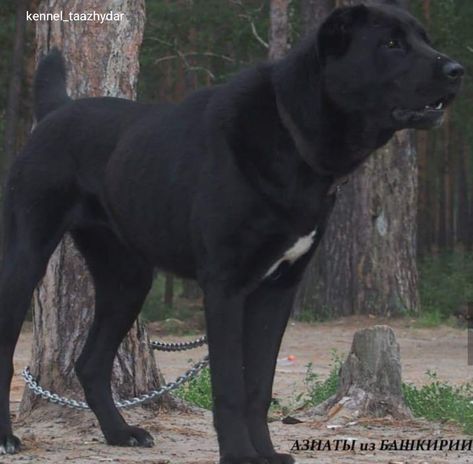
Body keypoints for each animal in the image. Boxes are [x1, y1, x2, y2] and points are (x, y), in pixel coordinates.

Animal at [0, 1, 460, 462]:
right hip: (25, 259)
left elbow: (258, 385)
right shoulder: (225, 287)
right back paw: (9, 437)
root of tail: (56, 110)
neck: (292, 132)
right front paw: (239, 453)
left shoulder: (277, 290)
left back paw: (119, 432)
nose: (457, 69)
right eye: (391, 43)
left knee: (91, 363)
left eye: (424, 39)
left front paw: (267, 453)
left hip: (127, 278)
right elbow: (230, 386)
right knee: (9, 353)